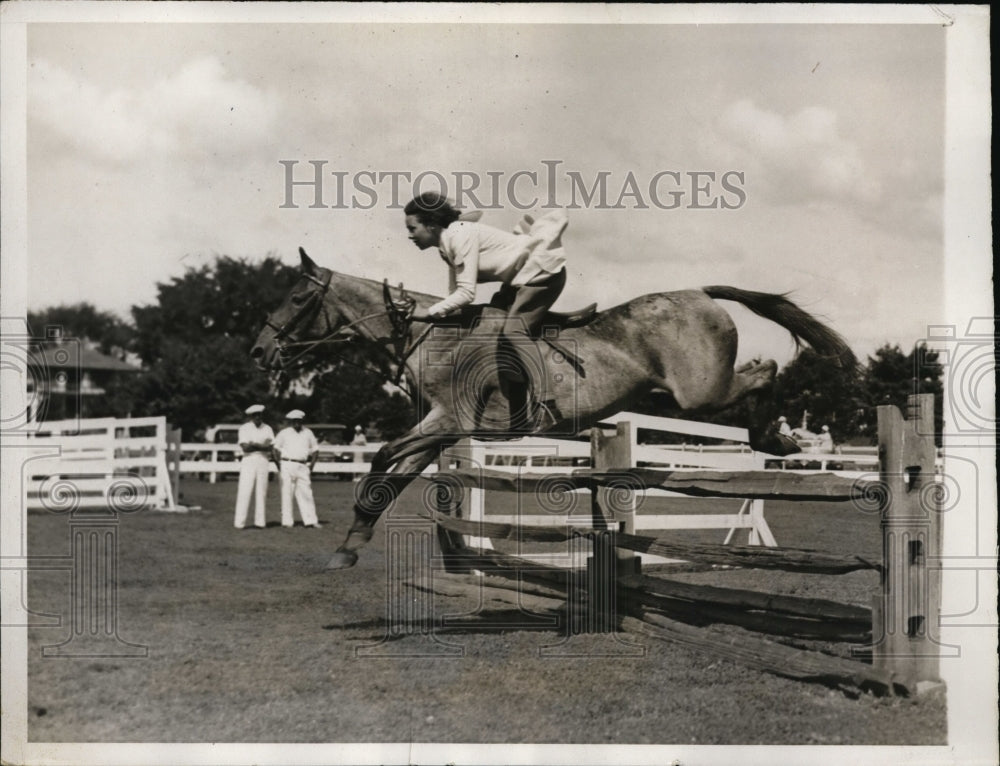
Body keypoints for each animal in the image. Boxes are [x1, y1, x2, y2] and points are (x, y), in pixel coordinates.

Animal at [254, 250, 856, 568]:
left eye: (298, 298)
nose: (260, 351)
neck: (430, 335)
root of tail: (700, 292)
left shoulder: (448, 420)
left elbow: (381, 458)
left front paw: (349, 543)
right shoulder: (437, 429)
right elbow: (393, 473)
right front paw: (351, 544)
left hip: (699, 392)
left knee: (764, 370)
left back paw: (776, 439)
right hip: (680, 393)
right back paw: (775, 438)